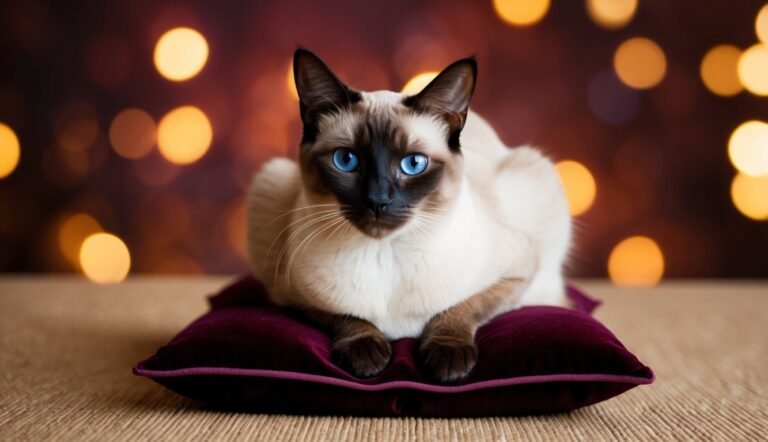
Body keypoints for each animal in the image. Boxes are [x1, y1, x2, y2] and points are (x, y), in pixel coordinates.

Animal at [246, 47, 568, 380]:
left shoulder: (518, 272)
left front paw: (448, 358)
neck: (383, 252)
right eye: (346, 160)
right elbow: (345, 317)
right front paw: (366, 354)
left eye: (413, 164)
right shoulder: (287, 292)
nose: (378, 201)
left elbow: (461, 308)